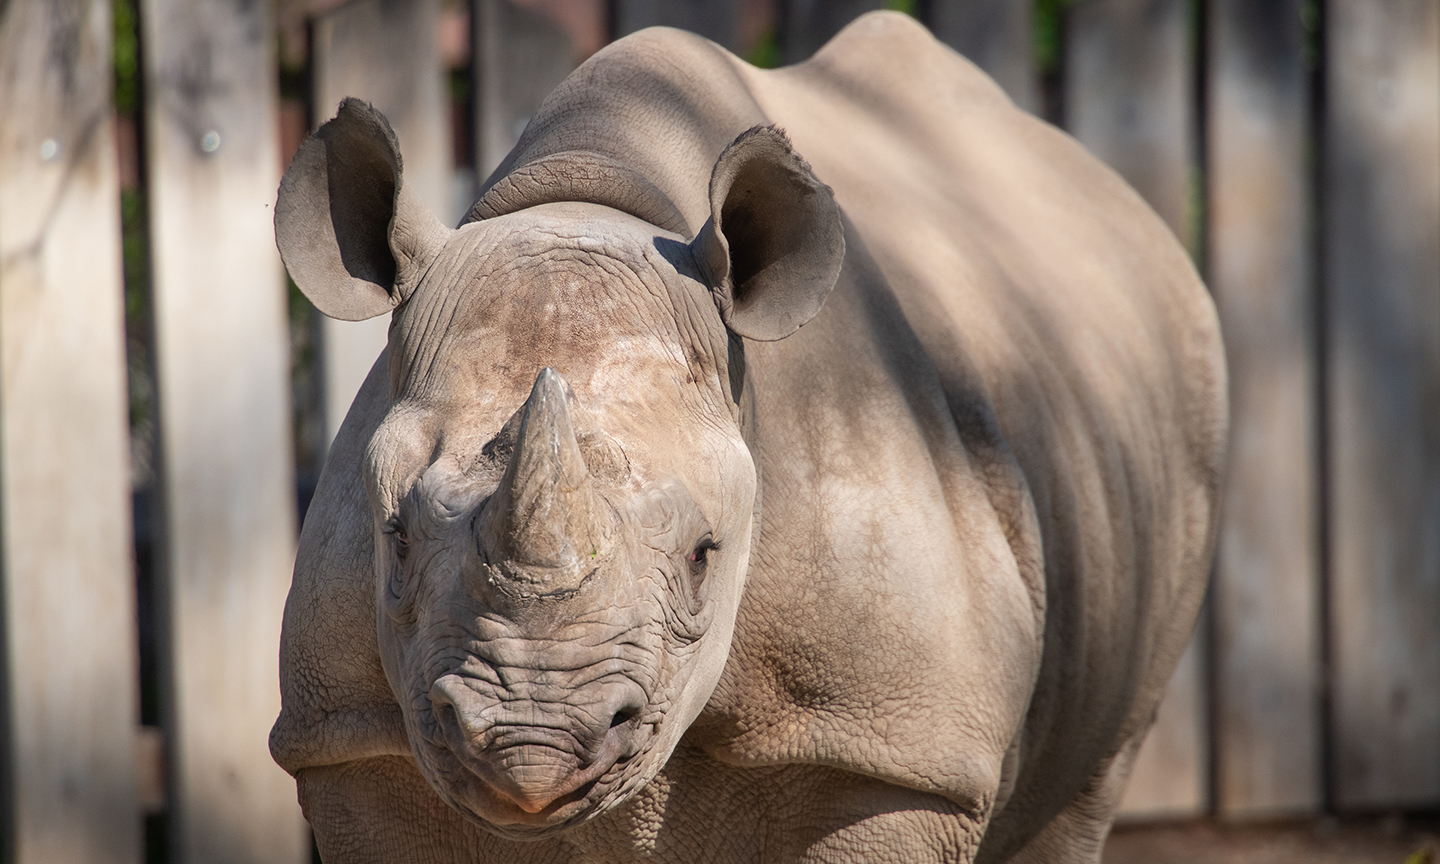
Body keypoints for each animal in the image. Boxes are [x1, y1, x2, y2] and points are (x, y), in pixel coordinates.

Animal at [269, 11, 1225, 863]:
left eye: (705, 555)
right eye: (393, 539)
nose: (529, 747)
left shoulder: (894, 755)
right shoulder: (352, 736)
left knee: (1085, 790)